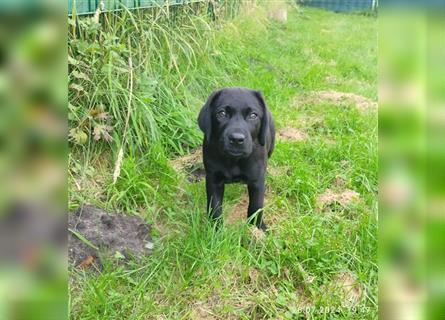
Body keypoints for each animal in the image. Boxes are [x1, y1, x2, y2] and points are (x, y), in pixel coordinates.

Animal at [198, 86, 274, 230]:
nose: (236, 139)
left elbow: (256, 206)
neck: (234, 160)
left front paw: (257, 229)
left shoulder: (257, 181)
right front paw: (216, 230)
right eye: (221, 113)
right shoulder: (213, 179)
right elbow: (215, 207)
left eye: (253, 115)